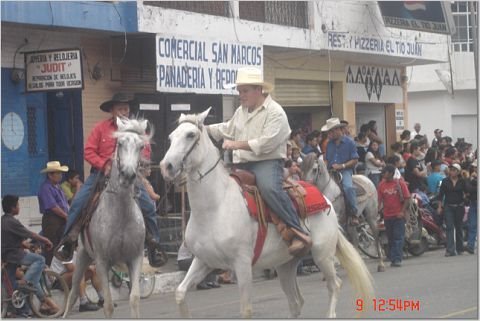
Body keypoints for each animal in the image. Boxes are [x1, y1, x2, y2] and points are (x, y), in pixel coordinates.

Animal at [159, 108, 374, 318]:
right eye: (170, 137)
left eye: (190, 135)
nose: (166, 166)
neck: (215, 208)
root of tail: (326, 199)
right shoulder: (203, 261)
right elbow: (180, 293)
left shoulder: (242, 264)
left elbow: (246, 309)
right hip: (286, 264)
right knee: (296, 302)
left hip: (322, 254)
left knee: (334, 285)